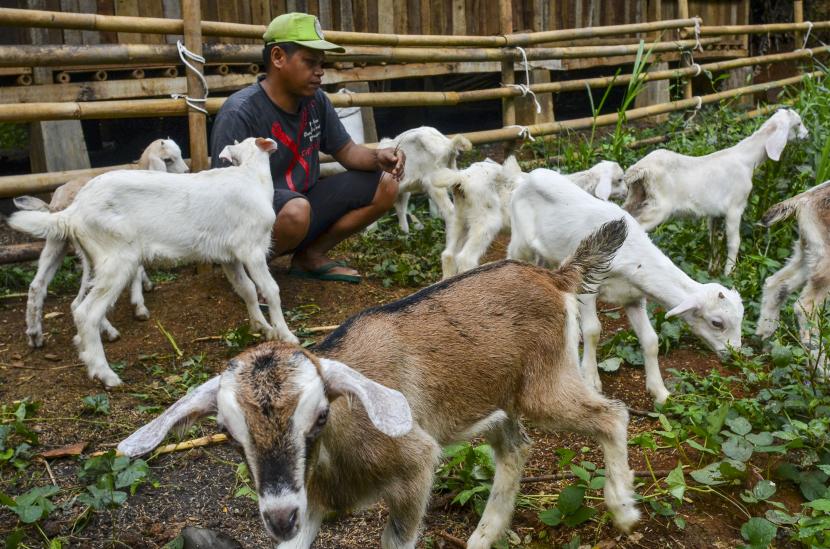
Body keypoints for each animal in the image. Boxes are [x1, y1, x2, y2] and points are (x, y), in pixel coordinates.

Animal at [117, 219, 640, 548]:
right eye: (228, 432)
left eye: (320, 415)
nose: (279, 518)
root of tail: (556, 277)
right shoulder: (310, 504)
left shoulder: (415, 468)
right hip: (483, 404)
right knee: (515, 445)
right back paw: (483, 535)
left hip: (544, 385)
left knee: (611, 414)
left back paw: (623, 509)